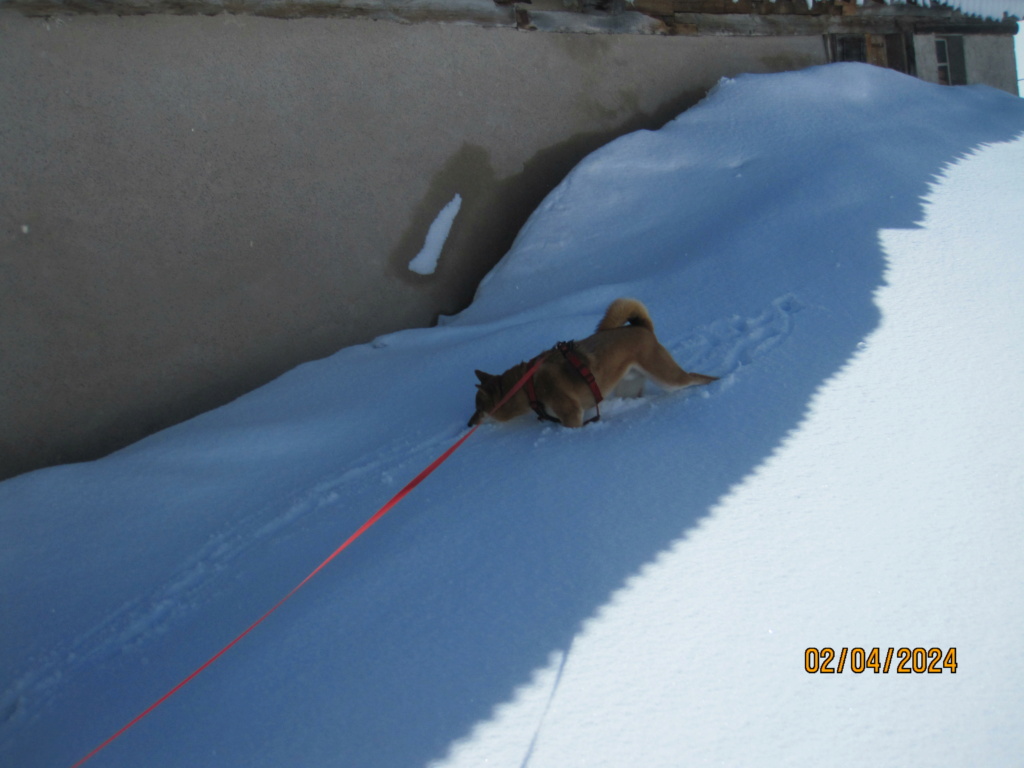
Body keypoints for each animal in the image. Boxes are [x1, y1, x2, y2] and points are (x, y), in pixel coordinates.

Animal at [468, 299, 716, 430]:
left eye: (479, 408)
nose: (469, 424)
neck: (527, 387)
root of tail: (642, 327)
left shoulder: (571, 415)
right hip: (629, 386)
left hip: (667, 377)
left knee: (695, 377)